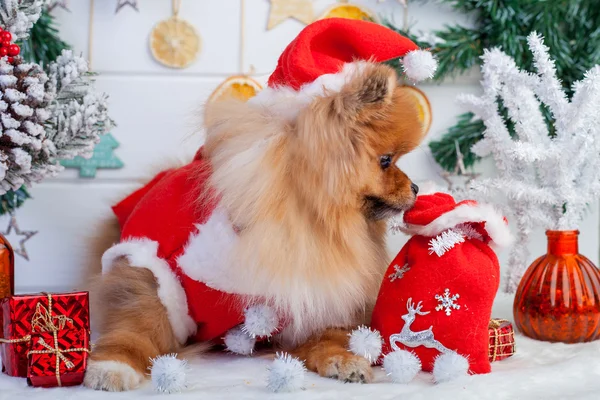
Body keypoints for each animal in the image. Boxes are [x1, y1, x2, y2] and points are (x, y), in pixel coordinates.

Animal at [85, 18, 432, 390]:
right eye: (385, 160)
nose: (416, 187)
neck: (306, 219)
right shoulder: (156, 278)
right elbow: (135, 326)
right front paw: (113, 365)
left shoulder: (309, 297)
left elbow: (325, 336)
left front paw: (343, 360)